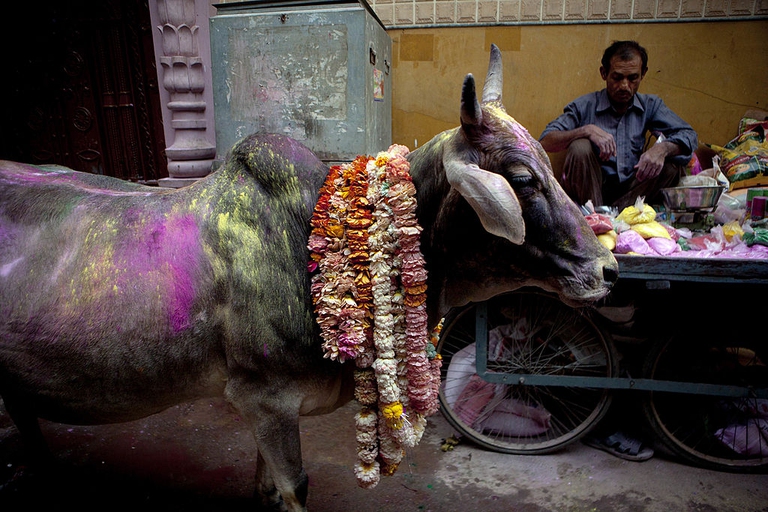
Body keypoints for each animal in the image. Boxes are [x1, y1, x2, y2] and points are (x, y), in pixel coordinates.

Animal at [0, 46, 616, 510]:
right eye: (521, 178)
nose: (606, 268)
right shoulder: (263, 397)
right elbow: (293, 486)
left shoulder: (269, 412)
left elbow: (269, 486)